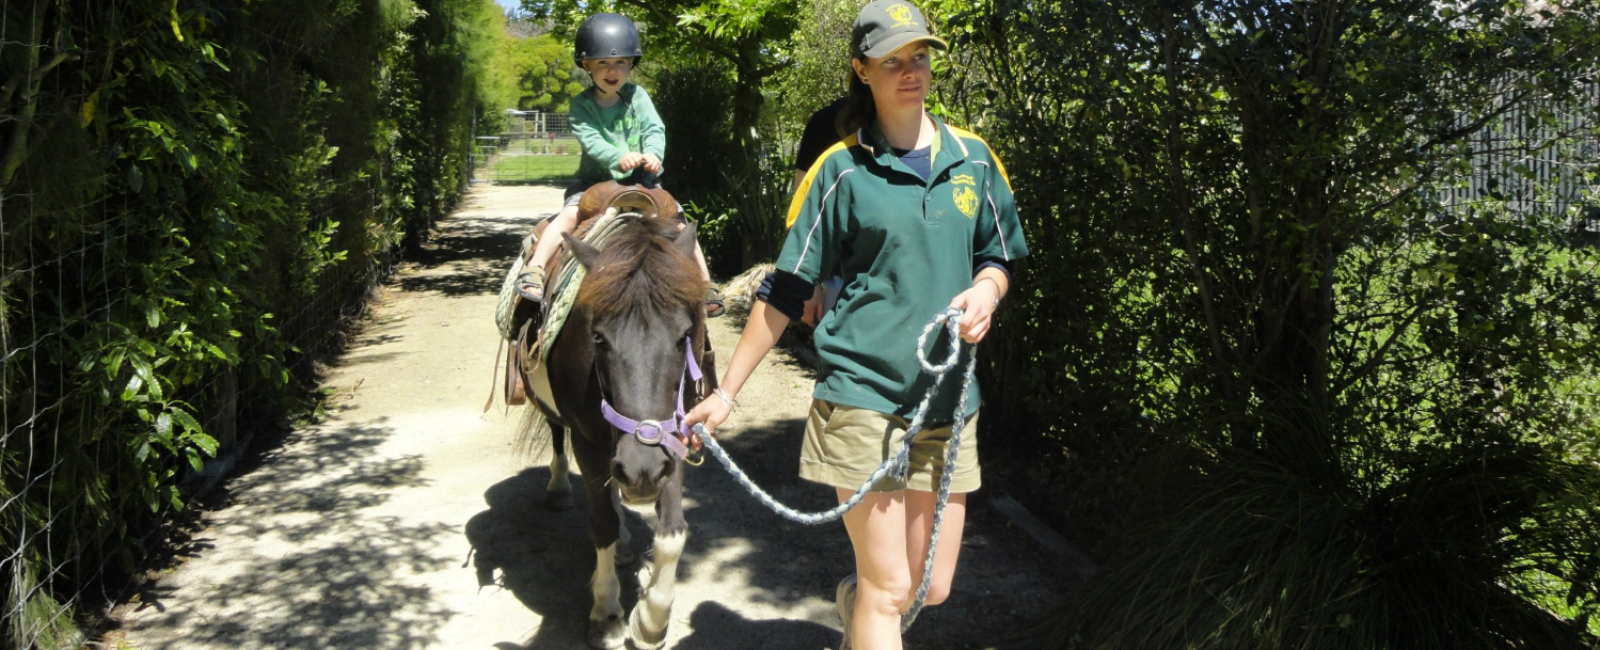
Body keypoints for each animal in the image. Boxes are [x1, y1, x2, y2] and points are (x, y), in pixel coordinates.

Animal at [512, 216, 713, 646]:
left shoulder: (674, 437)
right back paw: (559, 488)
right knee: (558, 437)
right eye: (598, 337)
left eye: (684, 336)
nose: (642, 469)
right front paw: (606, 614)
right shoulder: (588, 441)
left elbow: (673, 531)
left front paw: (651, 621)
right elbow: (600, 523)